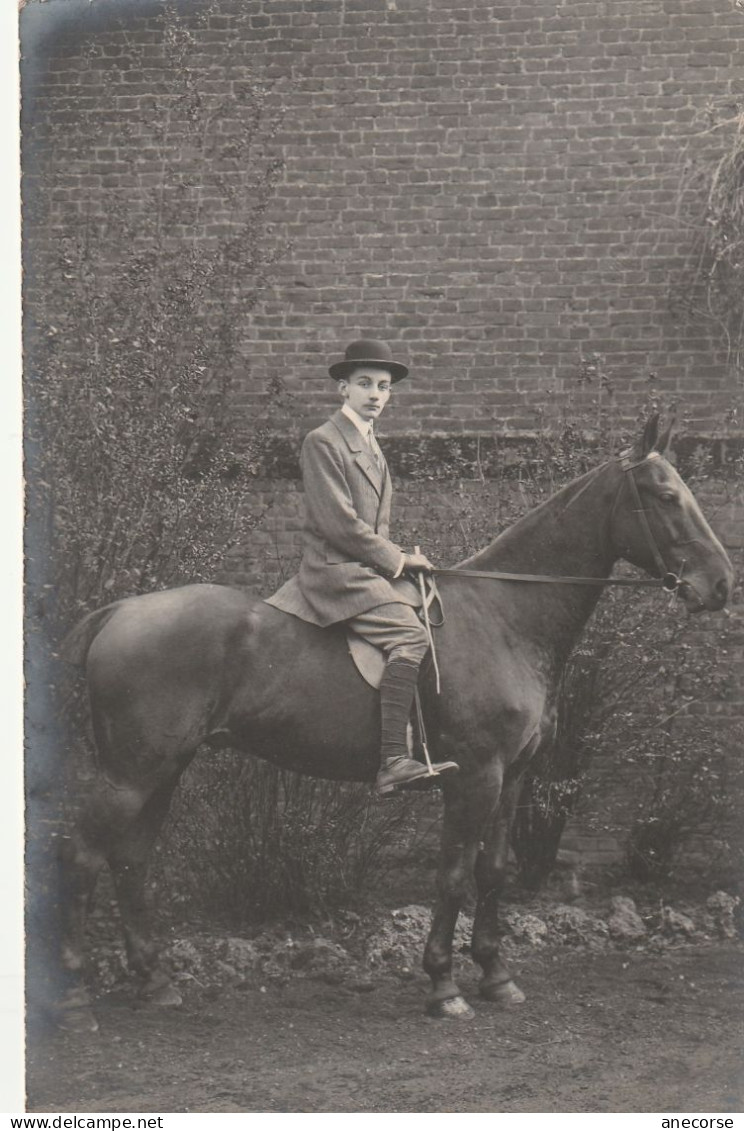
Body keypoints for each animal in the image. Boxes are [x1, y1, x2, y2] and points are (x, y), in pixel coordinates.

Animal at [56, 420, 728, 1031]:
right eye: (666, 495)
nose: (721, 586)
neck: (504, 616)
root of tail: (122, 609)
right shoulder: (475, 776)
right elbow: (453, 877)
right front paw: (443, 986)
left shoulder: (511, 777)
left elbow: (493, 871)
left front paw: (496, 977)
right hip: (132, 774)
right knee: (86, 857)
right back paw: (74, 996)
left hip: (164, 770)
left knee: (130, 861)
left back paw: (155, 983)